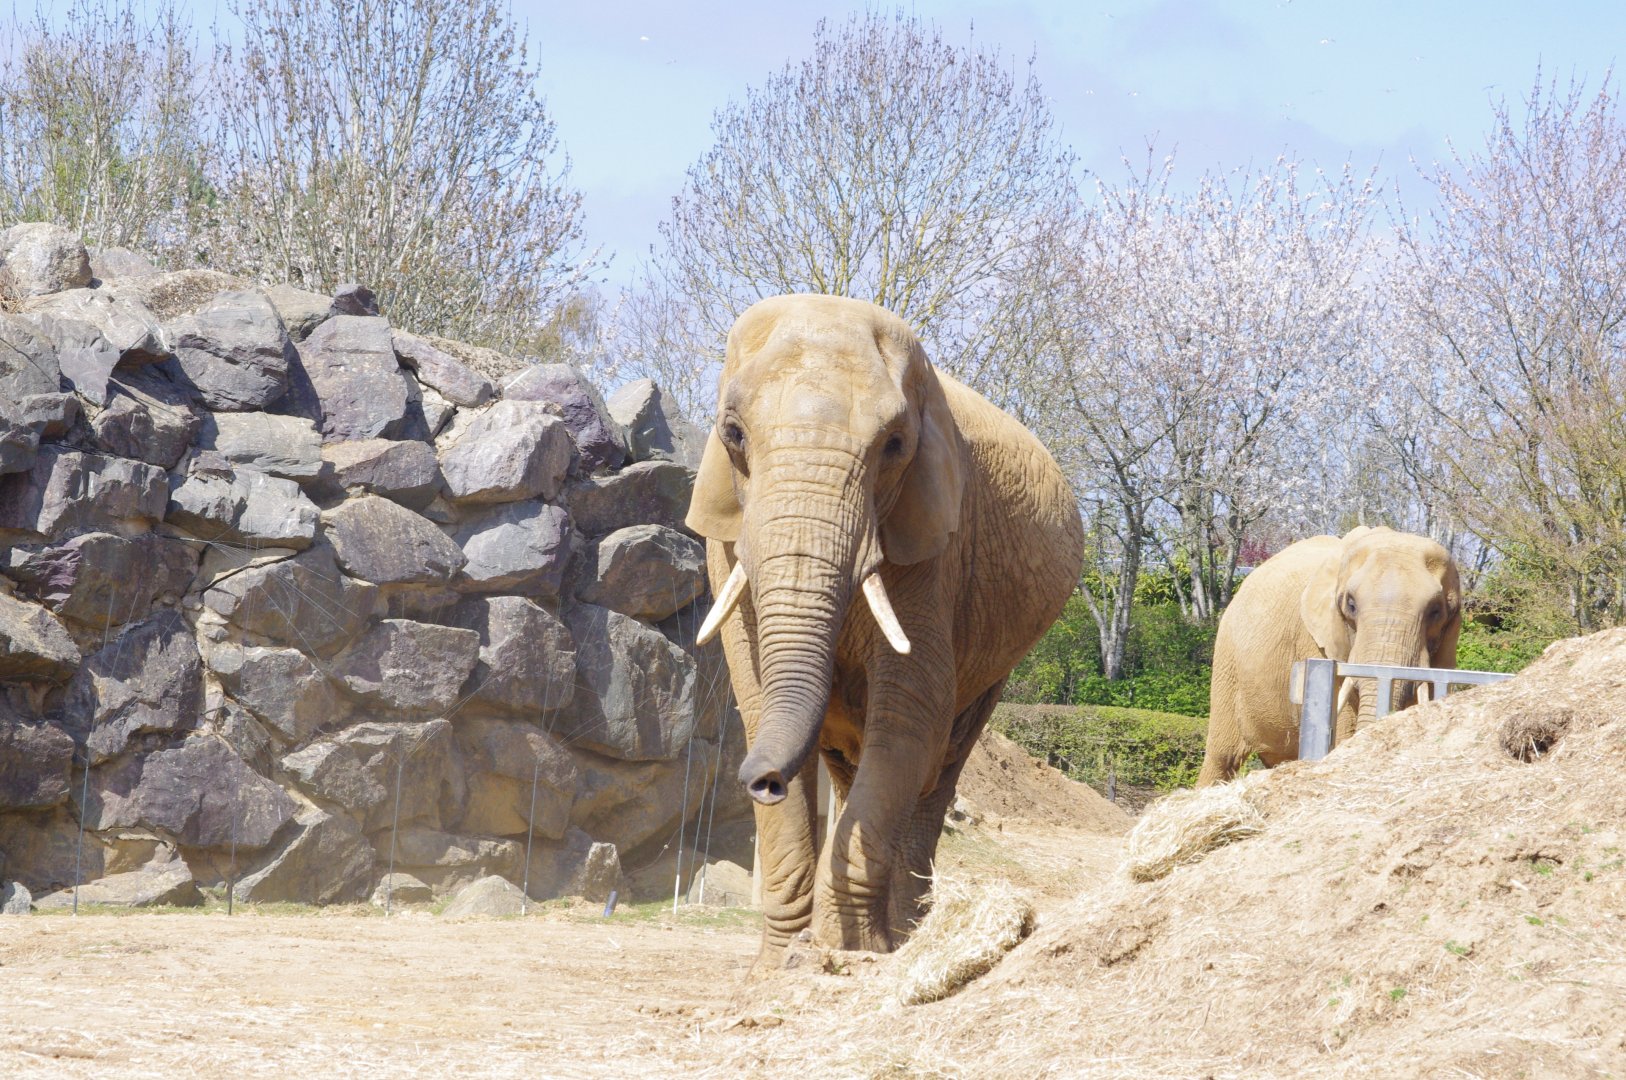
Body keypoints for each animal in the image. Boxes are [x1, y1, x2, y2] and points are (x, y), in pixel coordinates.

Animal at [685, 293, 1084, 964]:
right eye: (732, 434)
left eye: (895, 445)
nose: (763, 781)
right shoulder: (729, 536)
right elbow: (757, 698)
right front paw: (781, 964)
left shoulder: (936, 544)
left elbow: (911, 713)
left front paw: (848, 955)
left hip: (994, 662)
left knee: (939, 763)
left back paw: (906, 938)